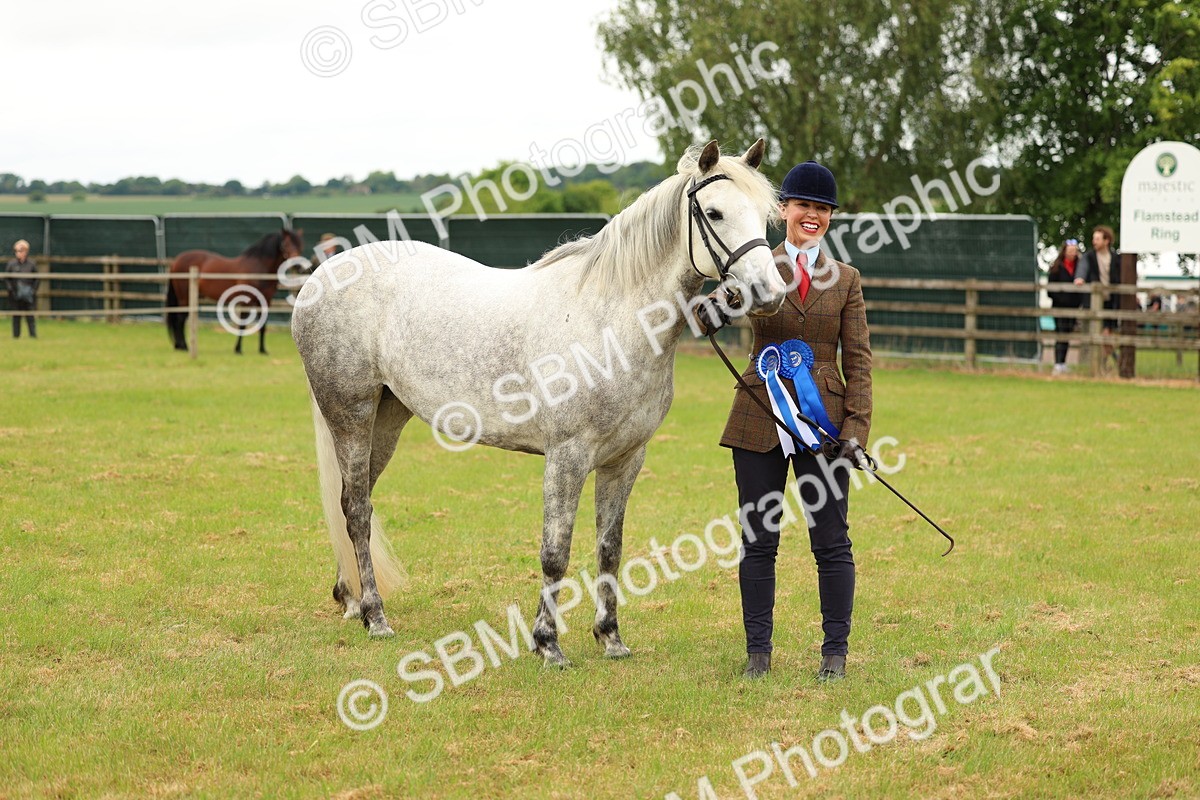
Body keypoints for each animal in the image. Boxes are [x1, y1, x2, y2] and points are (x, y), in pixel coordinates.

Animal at [166, 228, 303, 354]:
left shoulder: (265, 301)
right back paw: (183, 347)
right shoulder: (246, 301)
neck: (258, 268)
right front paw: (238, 349)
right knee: (180, 319)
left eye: (300, 244)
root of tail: (176, 261)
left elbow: (263, 325)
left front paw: (262, 350)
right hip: (184, 298)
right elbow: (242, 325)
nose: (297, 266)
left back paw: (179, 346)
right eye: (285, 244)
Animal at [291, 140, 788, 666]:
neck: (610, 320)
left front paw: (611, 638)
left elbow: (609, 548)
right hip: (351, 416)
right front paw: (548, 644)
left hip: (386, 418)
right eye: (713, 213)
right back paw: (375, 616)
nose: (768, 292)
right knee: (357, 510)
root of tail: (322, 275)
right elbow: (556, 551)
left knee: (355, 503)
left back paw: (351, 600)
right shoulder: (567, 456)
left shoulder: (625, 459)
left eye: (765, 214)